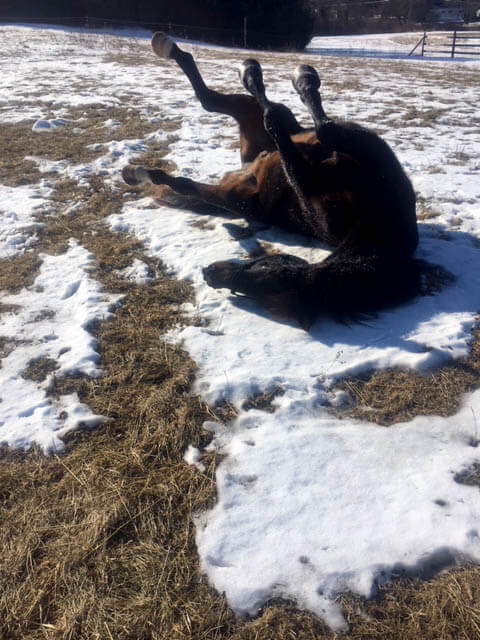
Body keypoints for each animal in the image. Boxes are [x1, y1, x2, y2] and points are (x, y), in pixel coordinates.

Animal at [124, 32, 424, 328]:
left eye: (266, 276)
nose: (208, 273)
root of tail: (247, 166)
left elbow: (301, 135)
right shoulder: (368, 150)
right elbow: (321, 130)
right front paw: (301, 85)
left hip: (230, 192)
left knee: (214, 125)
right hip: (264, 123)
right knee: (249, 105)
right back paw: (266, 73)